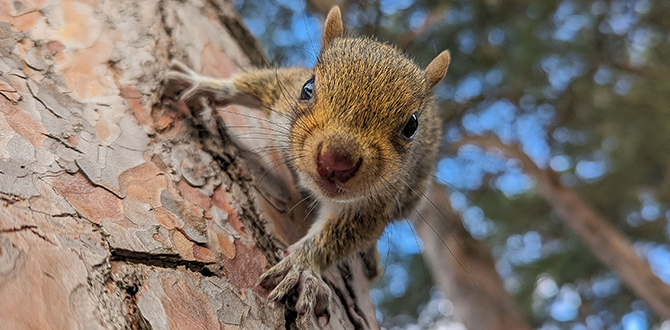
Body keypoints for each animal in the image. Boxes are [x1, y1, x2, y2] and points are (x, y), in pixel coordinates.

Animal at [166, 5, 454, 324]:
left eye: (411, 126)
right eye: (307, 87)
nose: (336, 161)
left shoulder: (375, 204)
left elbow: (341, 237)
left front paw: (302, 264)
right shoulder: (282, 94)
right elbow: (257, 84)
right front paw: (206, 84)